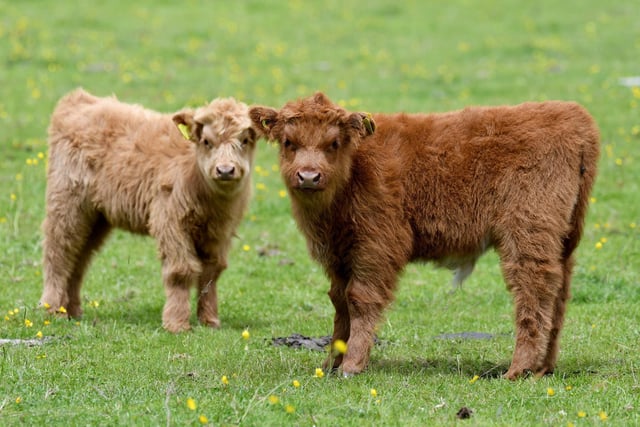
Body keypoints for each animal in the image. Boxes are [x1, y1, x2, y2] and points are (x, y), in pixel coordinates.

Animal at [40, 88, 258, 332]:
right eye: (206, 141)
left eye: (245, 140)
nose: (225, 170)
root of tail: (78, 98)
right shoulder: (170, 222)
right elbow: (181, 270)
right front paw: (177, 324)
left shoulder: (220, 232)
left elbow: (211, 273)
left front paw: (209, 321)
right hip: (66, 203)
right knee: (58, 253)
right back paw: (52, 309)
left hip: (96, 217)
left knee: (78, 258)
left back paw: (72, 311)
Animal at [250, 92, 600, 380]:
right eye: (288, 142)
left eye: (333, 143)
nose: (308, 176)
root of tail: (572, 114)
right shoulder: (338, 255)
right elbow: (339, 304)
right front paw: (330, 364)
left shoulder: (376, 245)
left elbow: (360, 300)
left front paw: (351, 365)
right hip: (563, 240)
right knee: (559, 293)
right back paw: (544, 367)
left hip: (527, 231)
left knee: (533, 290)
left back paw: (518, 369)